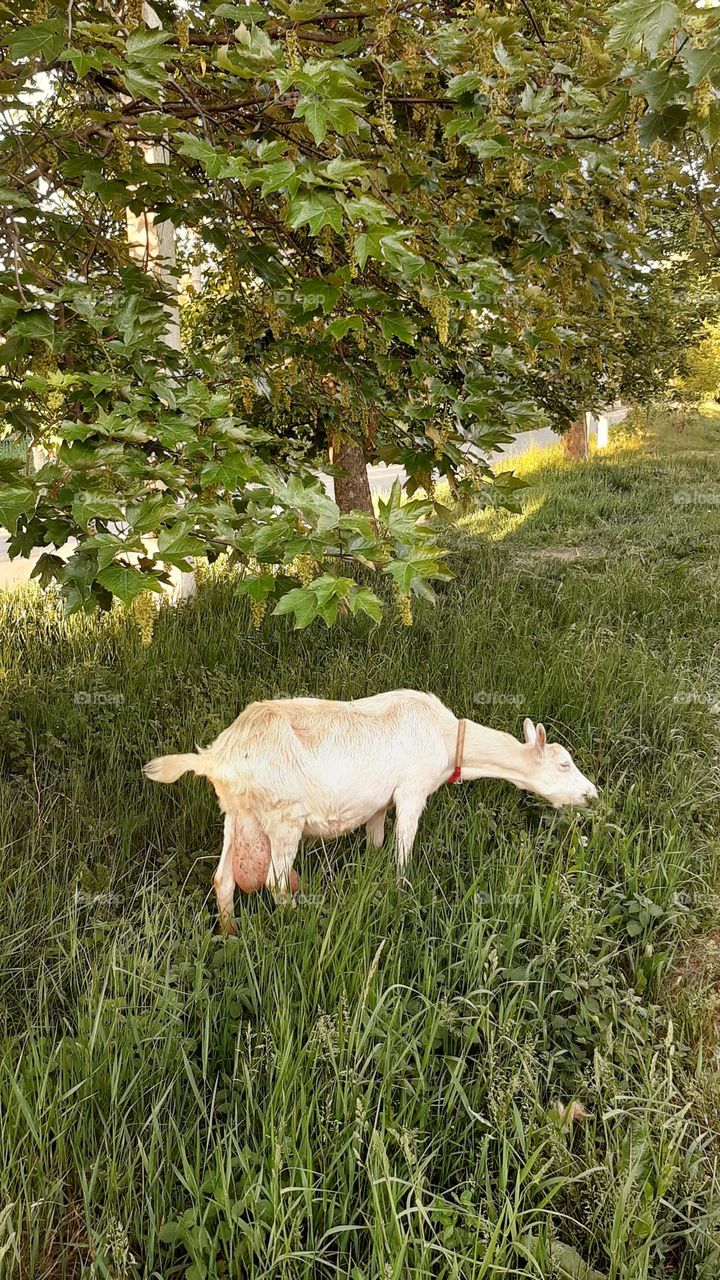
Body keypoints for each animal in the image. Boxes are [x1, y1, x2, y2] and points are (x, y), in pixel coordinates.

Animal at [144, 690, 598, 933]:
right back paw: (296, 924)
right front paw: (401, 895)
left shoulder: (379, 803)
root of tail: (217, 758)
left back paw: (231, 934)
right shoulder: (412, 791)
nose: (592, 795)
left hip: (237, 815)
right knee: (275, 882)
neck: (447, 738)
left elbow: (377, 842)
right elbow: (402, 852)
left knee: (222, 879)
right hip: (283, 818)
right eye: (563, 764)